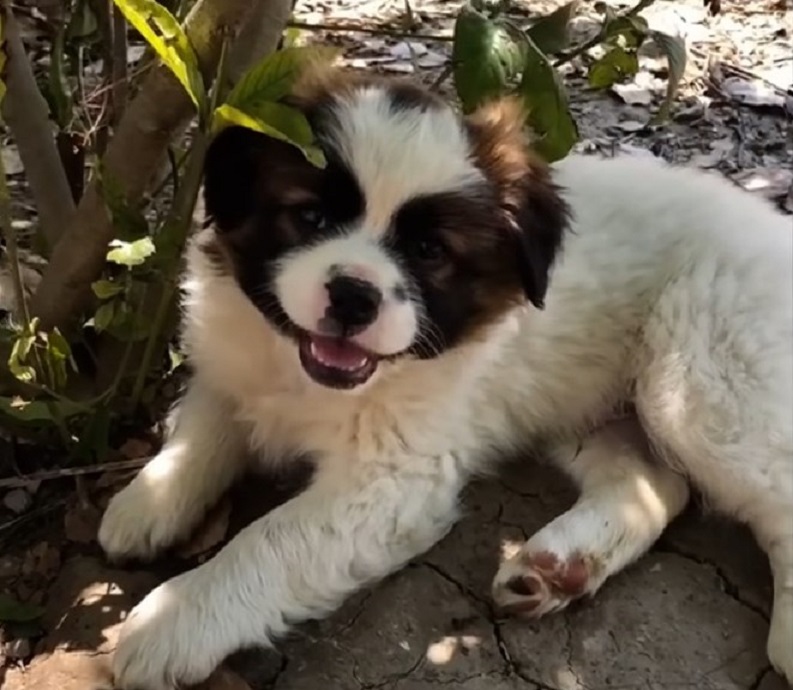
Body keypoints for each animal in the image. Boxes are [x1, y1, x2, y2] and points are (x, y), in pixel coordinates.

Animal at [99, 66, 792, 688]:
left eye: (430, 252)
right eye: (311, 218)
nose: (353, 296)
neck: (297, 373)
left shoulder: (389, 483)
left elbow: (267, 543)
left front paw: (172, 619)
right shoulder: (231, 367)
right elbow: (203, 428)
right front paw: (148, 500)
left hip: (701, 386)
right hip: (595, 408)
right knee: (655, 485)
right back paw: (556, 567)